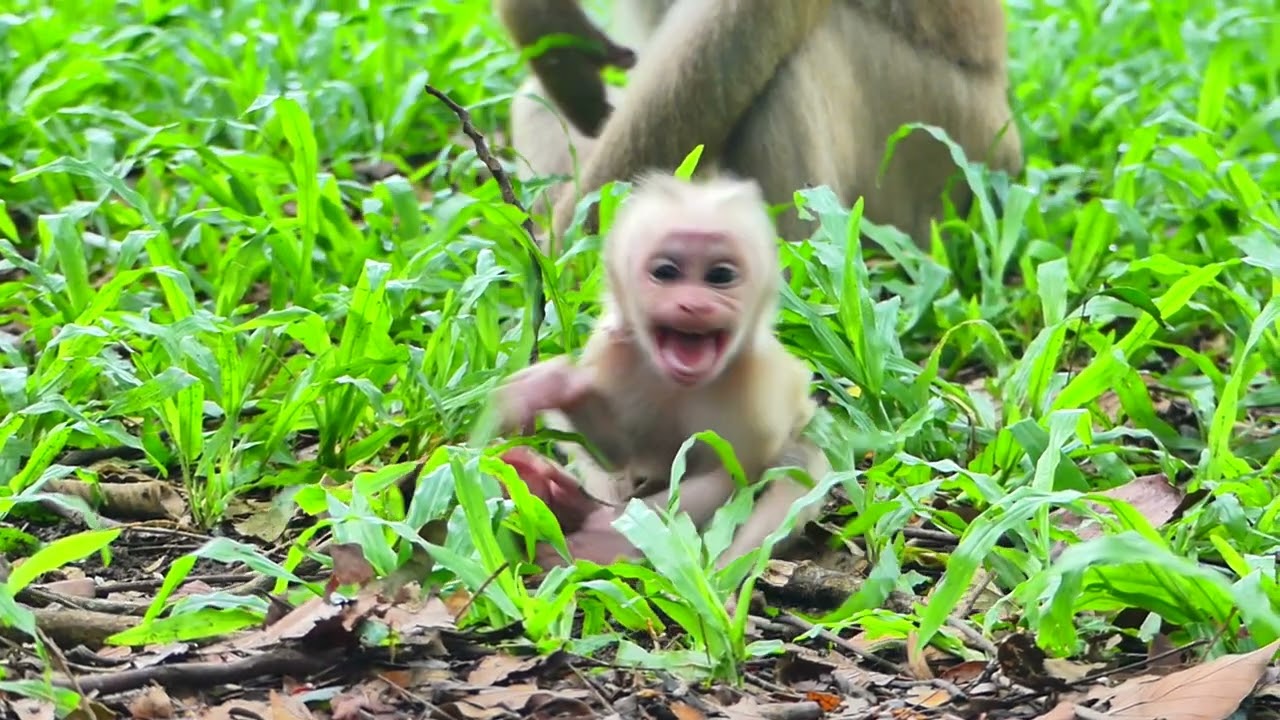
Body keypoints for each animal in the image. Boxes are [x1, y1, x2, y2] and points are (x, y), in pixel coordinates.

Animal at [489, 173, 829, 568]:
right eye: (666, 272)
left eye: (720, 275)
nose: (695, 305)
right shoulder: (613, 351)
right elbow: (616, 454)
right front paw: (558, 387)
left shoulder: (757, 392)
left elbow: (737, 475)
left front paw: (605, 534)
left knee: (796, 470)